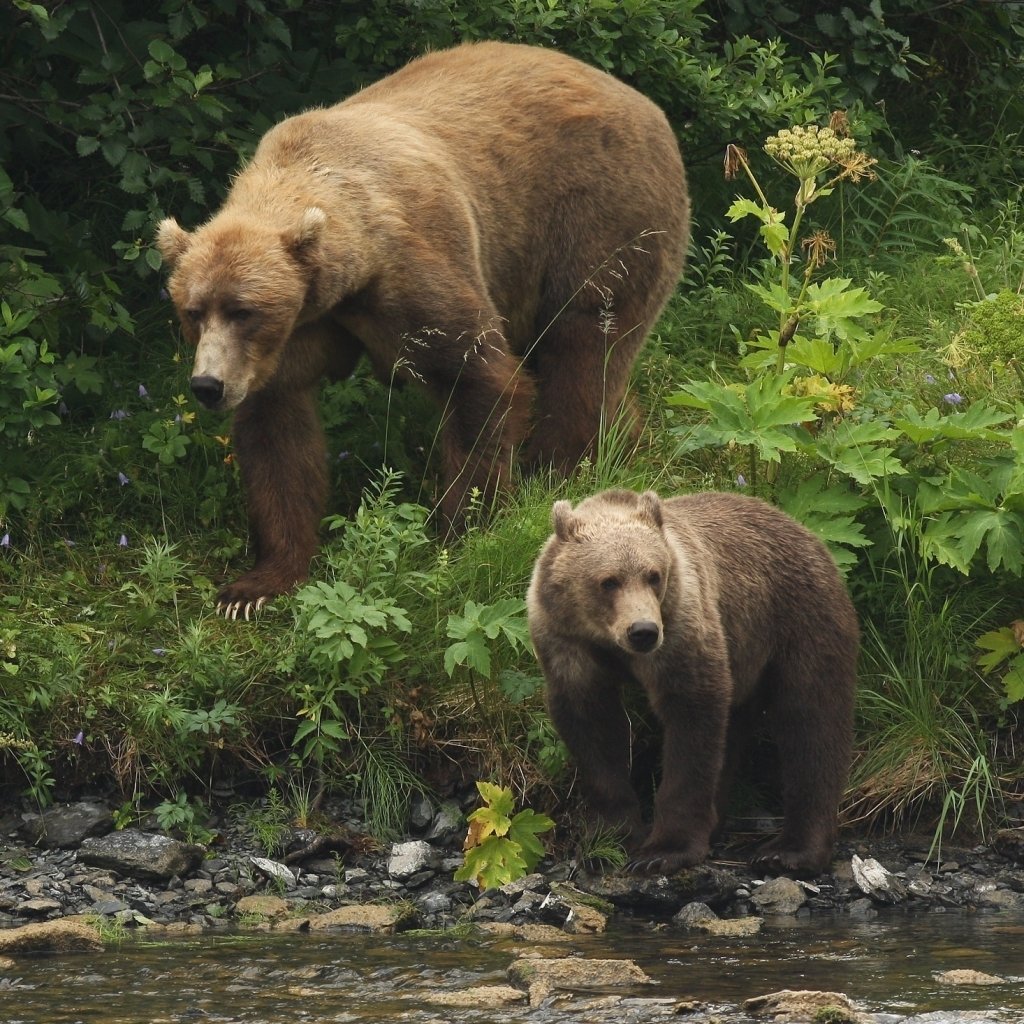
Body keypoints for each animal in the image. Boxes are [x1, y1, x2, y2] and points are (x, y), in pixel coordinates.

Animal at [155, 41, 692, 614]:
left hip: (598, 217)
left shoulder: (411, 270)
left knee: (583, 345)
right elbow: (278, 435)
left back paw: (563, 472)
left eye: (244, 310)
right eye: (192, 310)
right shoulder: (297, 332)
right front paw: (256, 584)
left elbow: (478, 378)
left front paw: (457, 530)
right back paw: (622, 449)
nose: (207, 385)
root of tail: (645, 103)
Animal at [528, 485, 856, 872]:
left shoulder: (681, 628)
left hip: (800, 620)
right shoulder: (566, 641)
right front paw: (613, 835)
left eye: (653, 575)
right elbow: (592, 727)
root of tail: (804, 530)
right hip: (746, 654)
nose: (643, 631)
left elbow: (691, 720)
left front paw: (664, 850)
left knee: (811, 720)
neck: (607, 641)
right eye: (608, 581)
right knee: (738, 731)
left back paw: (789, 849)